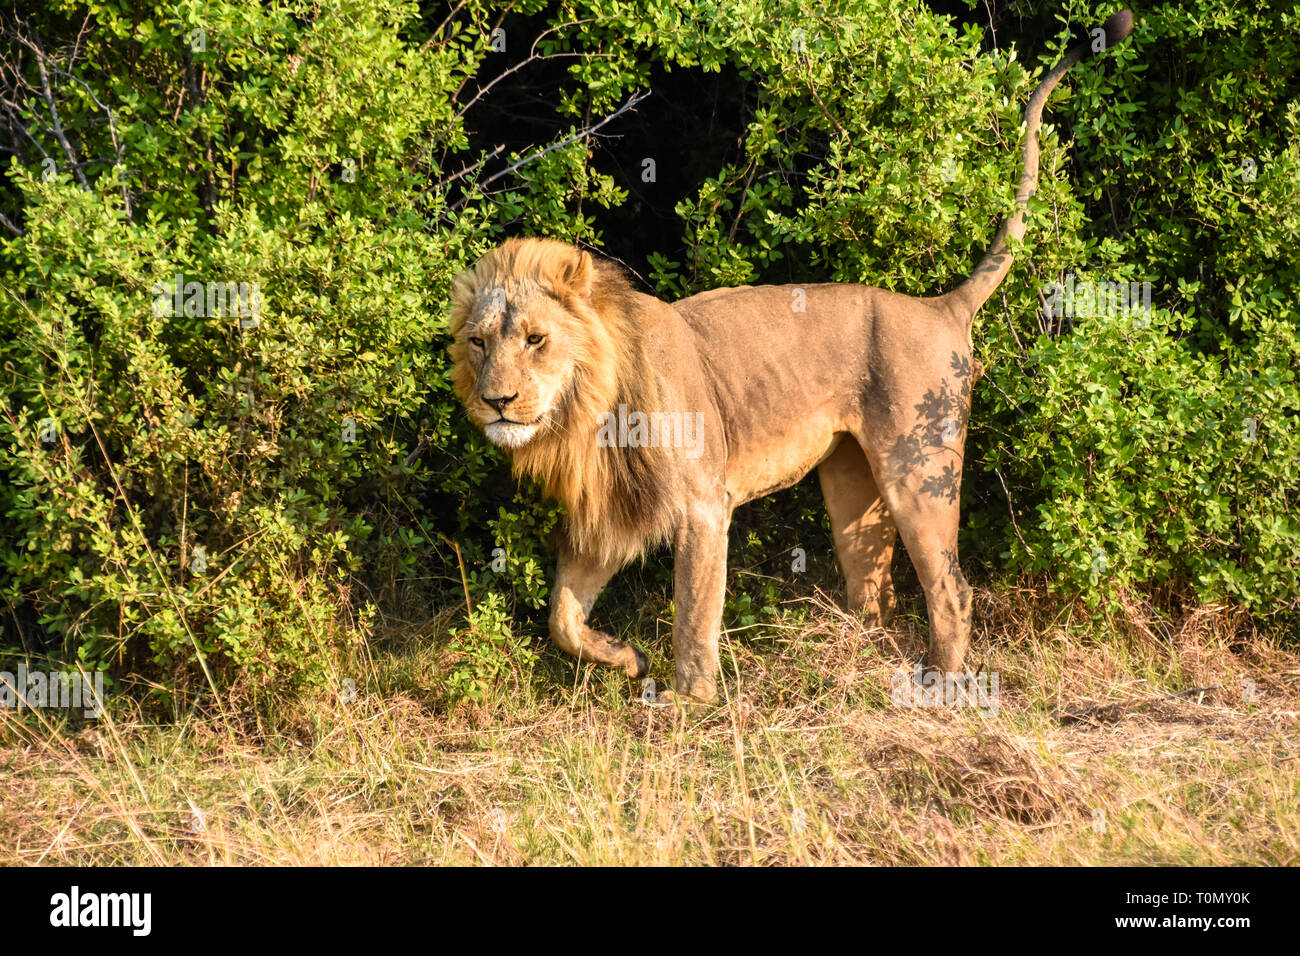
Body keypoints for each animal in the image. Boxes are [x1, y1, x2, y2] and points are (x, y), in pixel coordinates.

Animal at [447, 11, 1134, 703]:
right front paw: (629, 661)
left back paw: (938, 684)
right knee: (875, 589)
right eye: (479, 342)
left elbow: (693, 615)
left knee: (951, 588)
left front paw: (688, 702)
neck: (587, 415)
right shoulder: (611, 509)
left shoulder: (703, 504)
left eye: (536, 339)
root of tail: (942, 307)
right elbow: (562, 617)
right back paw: (854, 659)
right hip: (851, 480)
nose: (496, 401)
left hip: (919, 468)